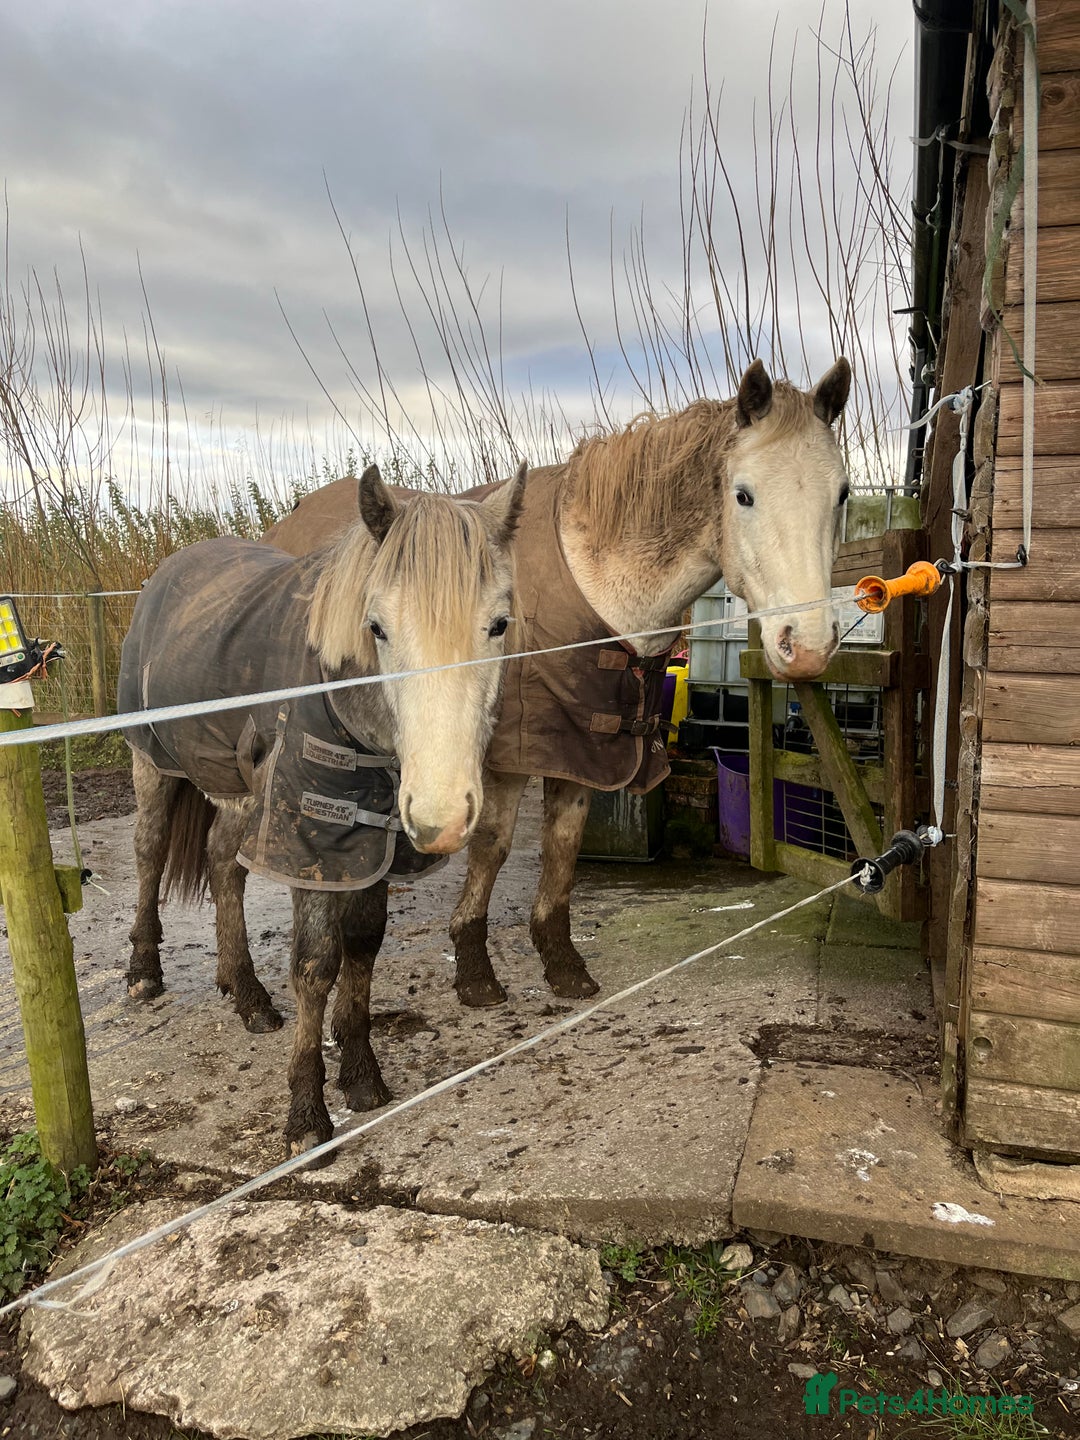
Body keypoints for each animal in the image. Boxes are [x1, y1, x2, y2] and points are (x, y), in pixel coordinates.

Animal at [119, 462, 526, 1155]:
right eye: (377, 626)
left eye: (498, 624)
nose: (441, 815)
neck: (344, 703)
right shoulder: (310, 835)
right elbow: (316, 963)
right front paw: (307, 1114)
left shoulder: (373, 833)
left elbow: (362, 945)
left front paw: (362, 1076)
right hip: (155, 763)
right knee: (149, 852)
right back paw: (145, 971)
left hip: (241, 788)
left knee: (222, 863)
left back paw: (246, 994)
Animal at [263, 360, 853, 1012]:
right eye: (743, 494)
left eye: (843, 493)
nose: (809, 646)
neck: (593, 581)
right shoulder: (508, 754)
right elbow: (492, 846)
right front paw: (474, 969)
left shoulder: (583, 751)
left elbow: (563, 847)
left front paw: (562, 962)